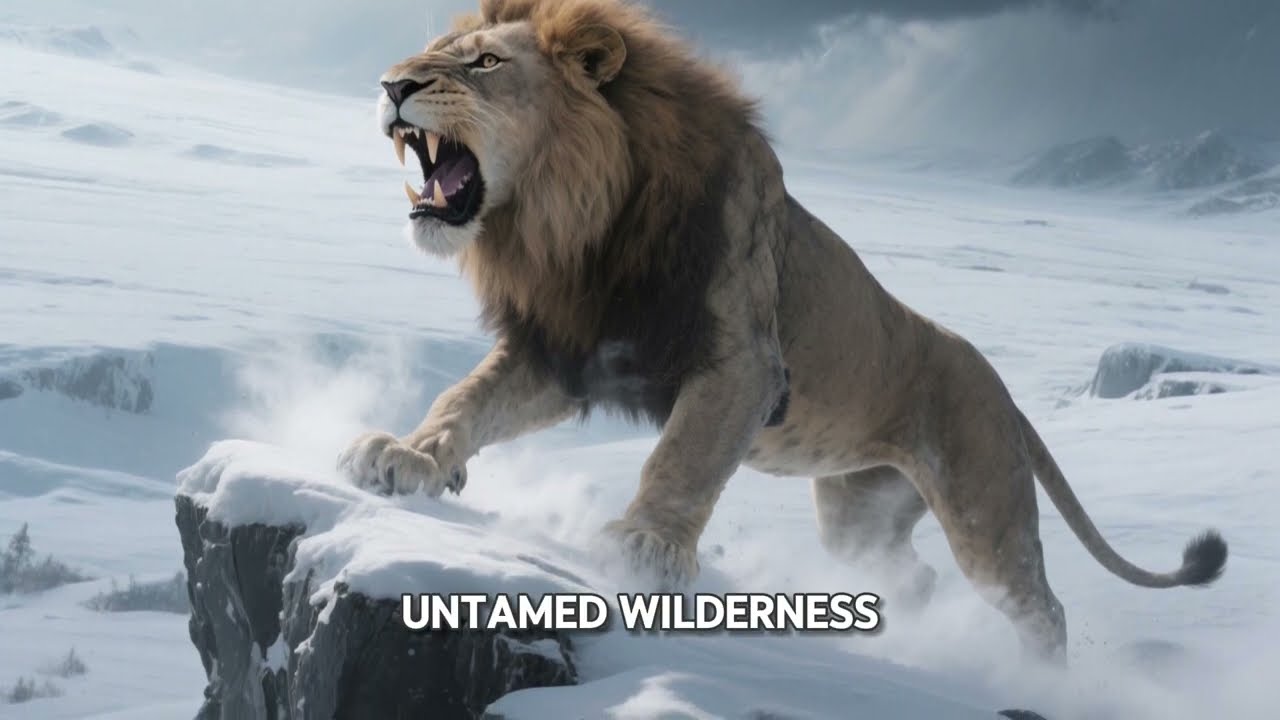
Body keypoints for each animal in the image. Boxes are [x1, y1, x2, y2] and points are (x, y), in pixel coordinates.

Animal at [338, 0, 1228, 663]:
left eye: (484, 64)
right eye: (437, 50)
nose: (391, 83)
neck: (579, 225)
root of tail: (1007, 397)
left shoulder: (744, 363)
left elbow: (685, 456)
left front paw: (645, 548)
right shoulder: (572, 349)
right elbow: (465, 400)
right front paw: (407, 458)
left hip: (986, 511)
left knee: (1041, 607)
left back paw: (1042, 680)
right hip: (859, 516)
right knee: (912, 578)